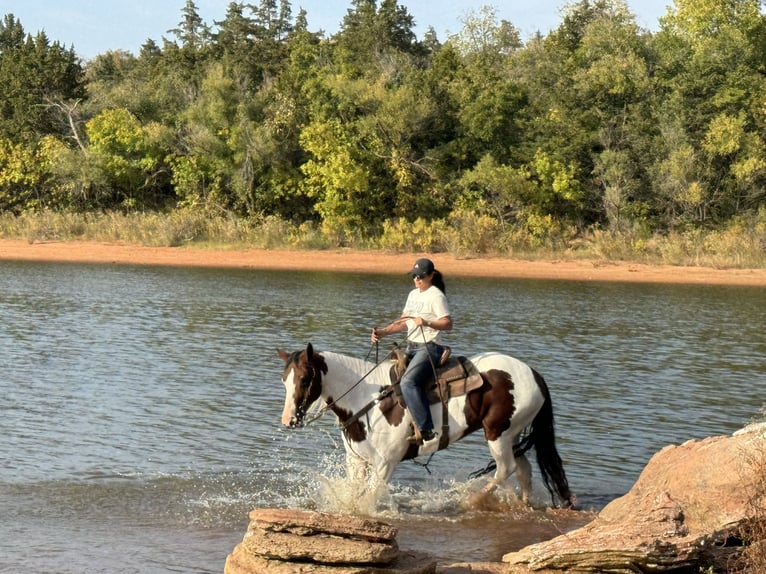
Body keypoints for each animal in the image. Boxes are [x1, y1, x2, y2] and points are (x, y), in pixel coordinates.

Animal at [280, 344, 572, 506]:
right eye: (284, 379)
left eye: (304, 378)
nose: (288, 420)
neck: (367, 397)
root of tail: (534, 374)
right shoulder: (356, 460)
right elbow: (354, 493)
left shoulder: (386, 462)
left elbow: (370, 497)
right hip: (512, 434)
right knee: (523, 468)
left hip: (497, 433)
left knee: (505, 469)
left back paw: (469, 502)